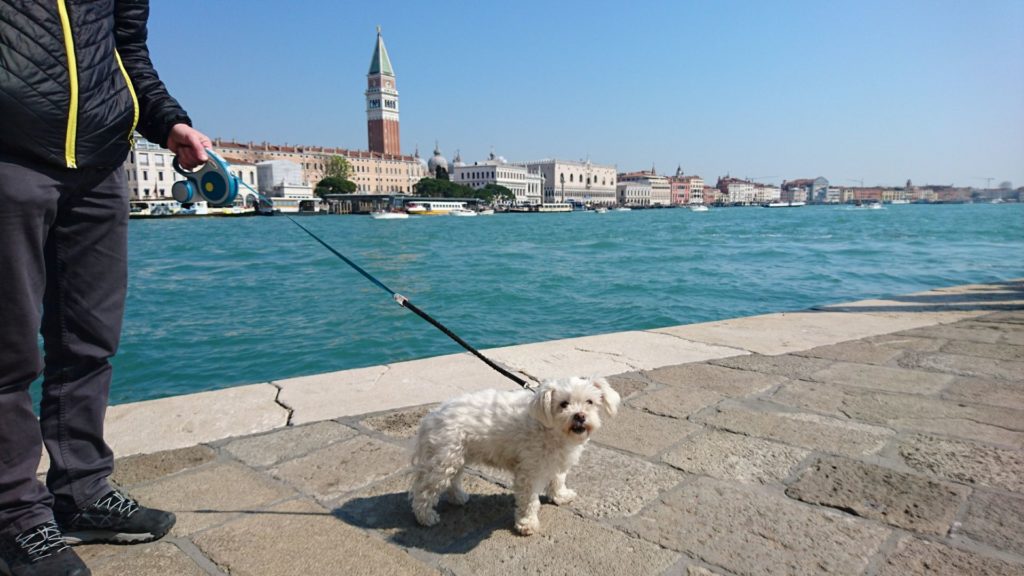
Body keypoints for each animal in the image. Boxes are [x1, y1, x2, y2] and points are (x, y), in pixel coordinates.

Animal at [405, 377, 614, 532]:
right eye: (563, 404)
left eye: (590, 402)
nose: (580, 416)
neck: (551, 429)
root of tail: (431, 416)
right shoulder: (529, 471)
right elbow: (529, 499)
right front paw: (527, 523)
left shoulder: (556, 460)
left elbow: (558, 479)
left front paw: (560, 496)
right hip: (444, 459)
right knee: (425, 490)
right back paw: (425, 517)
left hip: (456, 457)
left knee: (453, 480)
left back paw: (458, 497)